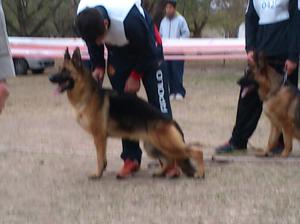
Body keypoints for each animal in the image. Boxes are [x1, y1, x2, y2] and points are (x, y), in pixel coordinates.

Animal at [49, 48, 205, 179]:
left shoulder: (99, 137)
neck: (88, 94)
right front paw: (101, 172)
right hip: (152, 147)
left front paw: (98, 174)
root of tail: (170, 121)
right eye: (59, 69)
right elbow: (102, 158)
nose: (50, 78)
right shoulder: (101, 138)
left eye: (65, 71)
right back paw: (160, 172)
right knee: (170, 159)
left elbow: (99, 158)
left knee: (196, 152)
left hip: (167, 145)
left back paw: (200, 173)